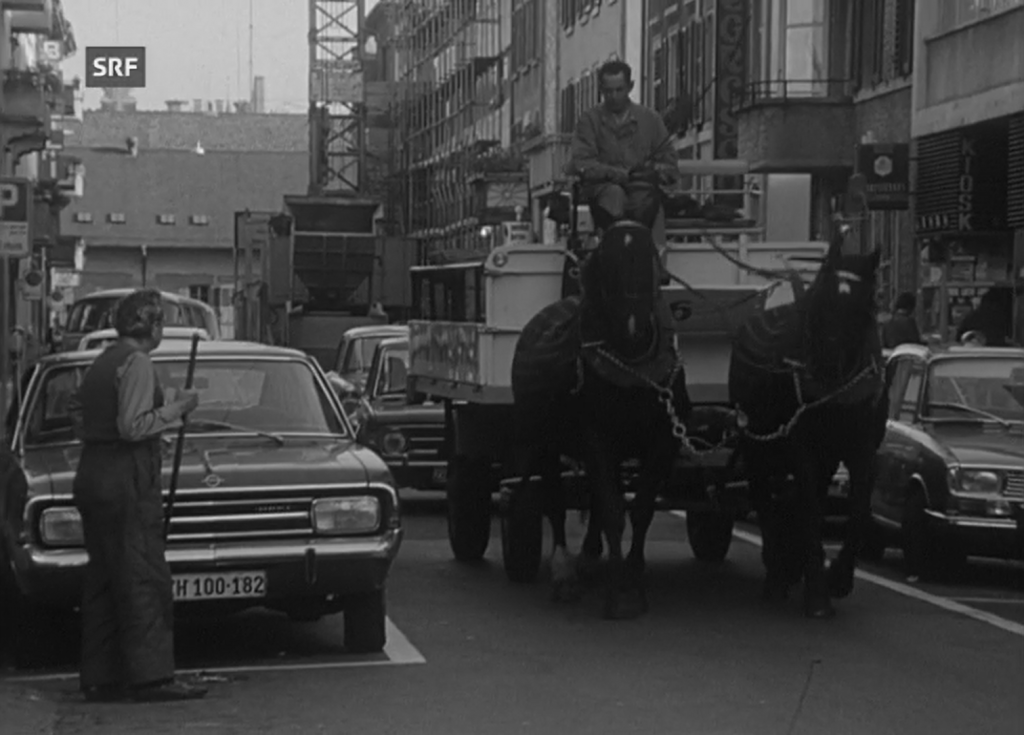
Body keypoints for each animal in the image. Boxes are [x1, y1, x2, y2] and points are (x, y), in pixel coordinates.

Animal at [507, 209, 692, 618]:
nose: (633, 327)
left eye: (651, 259)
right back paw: (565, 571)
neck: (632, 365)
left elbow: (639, 508)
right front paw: (618, 592)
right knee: (554, 501)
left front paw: (632, 576)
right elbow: (611, 509)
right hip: (543, 438)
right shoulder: (595, 435)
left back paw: (590, 558)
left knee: (592, 493)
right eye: (606, 260)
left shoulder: (663, 438)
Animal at [729, 233, 888, 618]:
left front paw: (839, 579)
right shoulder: (801, 445)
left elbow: (858, 510)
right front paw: (817, 592)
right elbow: (811, 508)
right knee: (763, 496)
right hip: (756, 443)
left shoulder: (861, 447)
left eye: (865, 306)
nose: (827, 365)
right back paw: (776, 572)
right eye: (822, 299)